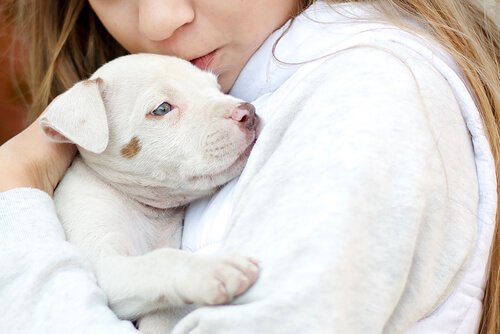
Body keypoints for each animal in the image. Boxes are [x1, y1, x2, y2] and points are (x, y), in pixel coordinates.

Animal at [40, 53, 258, 332]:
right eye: (162, 109)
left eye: (217, 89)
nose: (248, 112)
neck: (144, 210)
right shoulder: (99, 263)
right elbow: (160, 260)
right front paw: (212, 269)